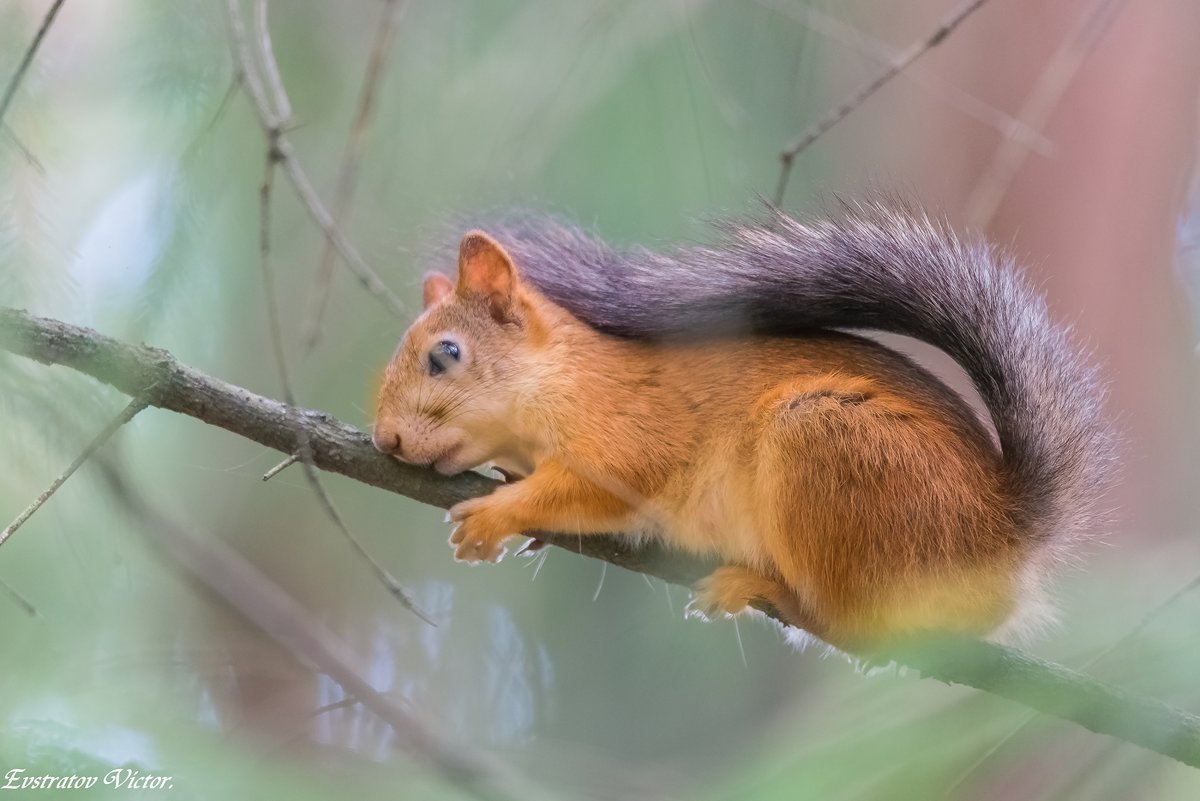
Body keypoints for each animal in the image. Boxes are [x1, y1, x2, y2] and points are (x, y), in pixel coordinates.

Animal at [374, 201, 1113, 652]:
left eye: (446, 354)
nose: (386, 440)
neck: (562, 378)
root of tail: (1001, 541)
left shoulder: (630, 435)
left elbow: (600, 488)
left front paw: (499, 512)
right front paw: (516, 509)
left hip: (823, 442)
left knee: (853, 628)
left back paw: (763, 586)